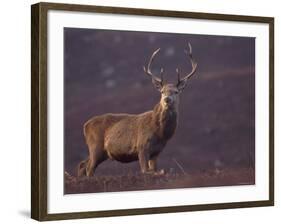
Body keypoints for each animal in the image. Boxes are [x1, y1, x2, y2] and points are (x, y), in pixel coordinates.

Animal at [76, 43, 197, 178]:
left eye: (176, 92)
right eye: (162, 92)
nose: (167, 99)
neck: (160, 133)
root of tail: (85, 125)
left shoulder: (156, 152)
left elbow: (154, 170)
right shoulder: (142, 146)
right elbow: (145, 171)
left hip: (101, 152)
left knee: (82, 164)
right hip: (95, 146)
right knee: (89, 168)